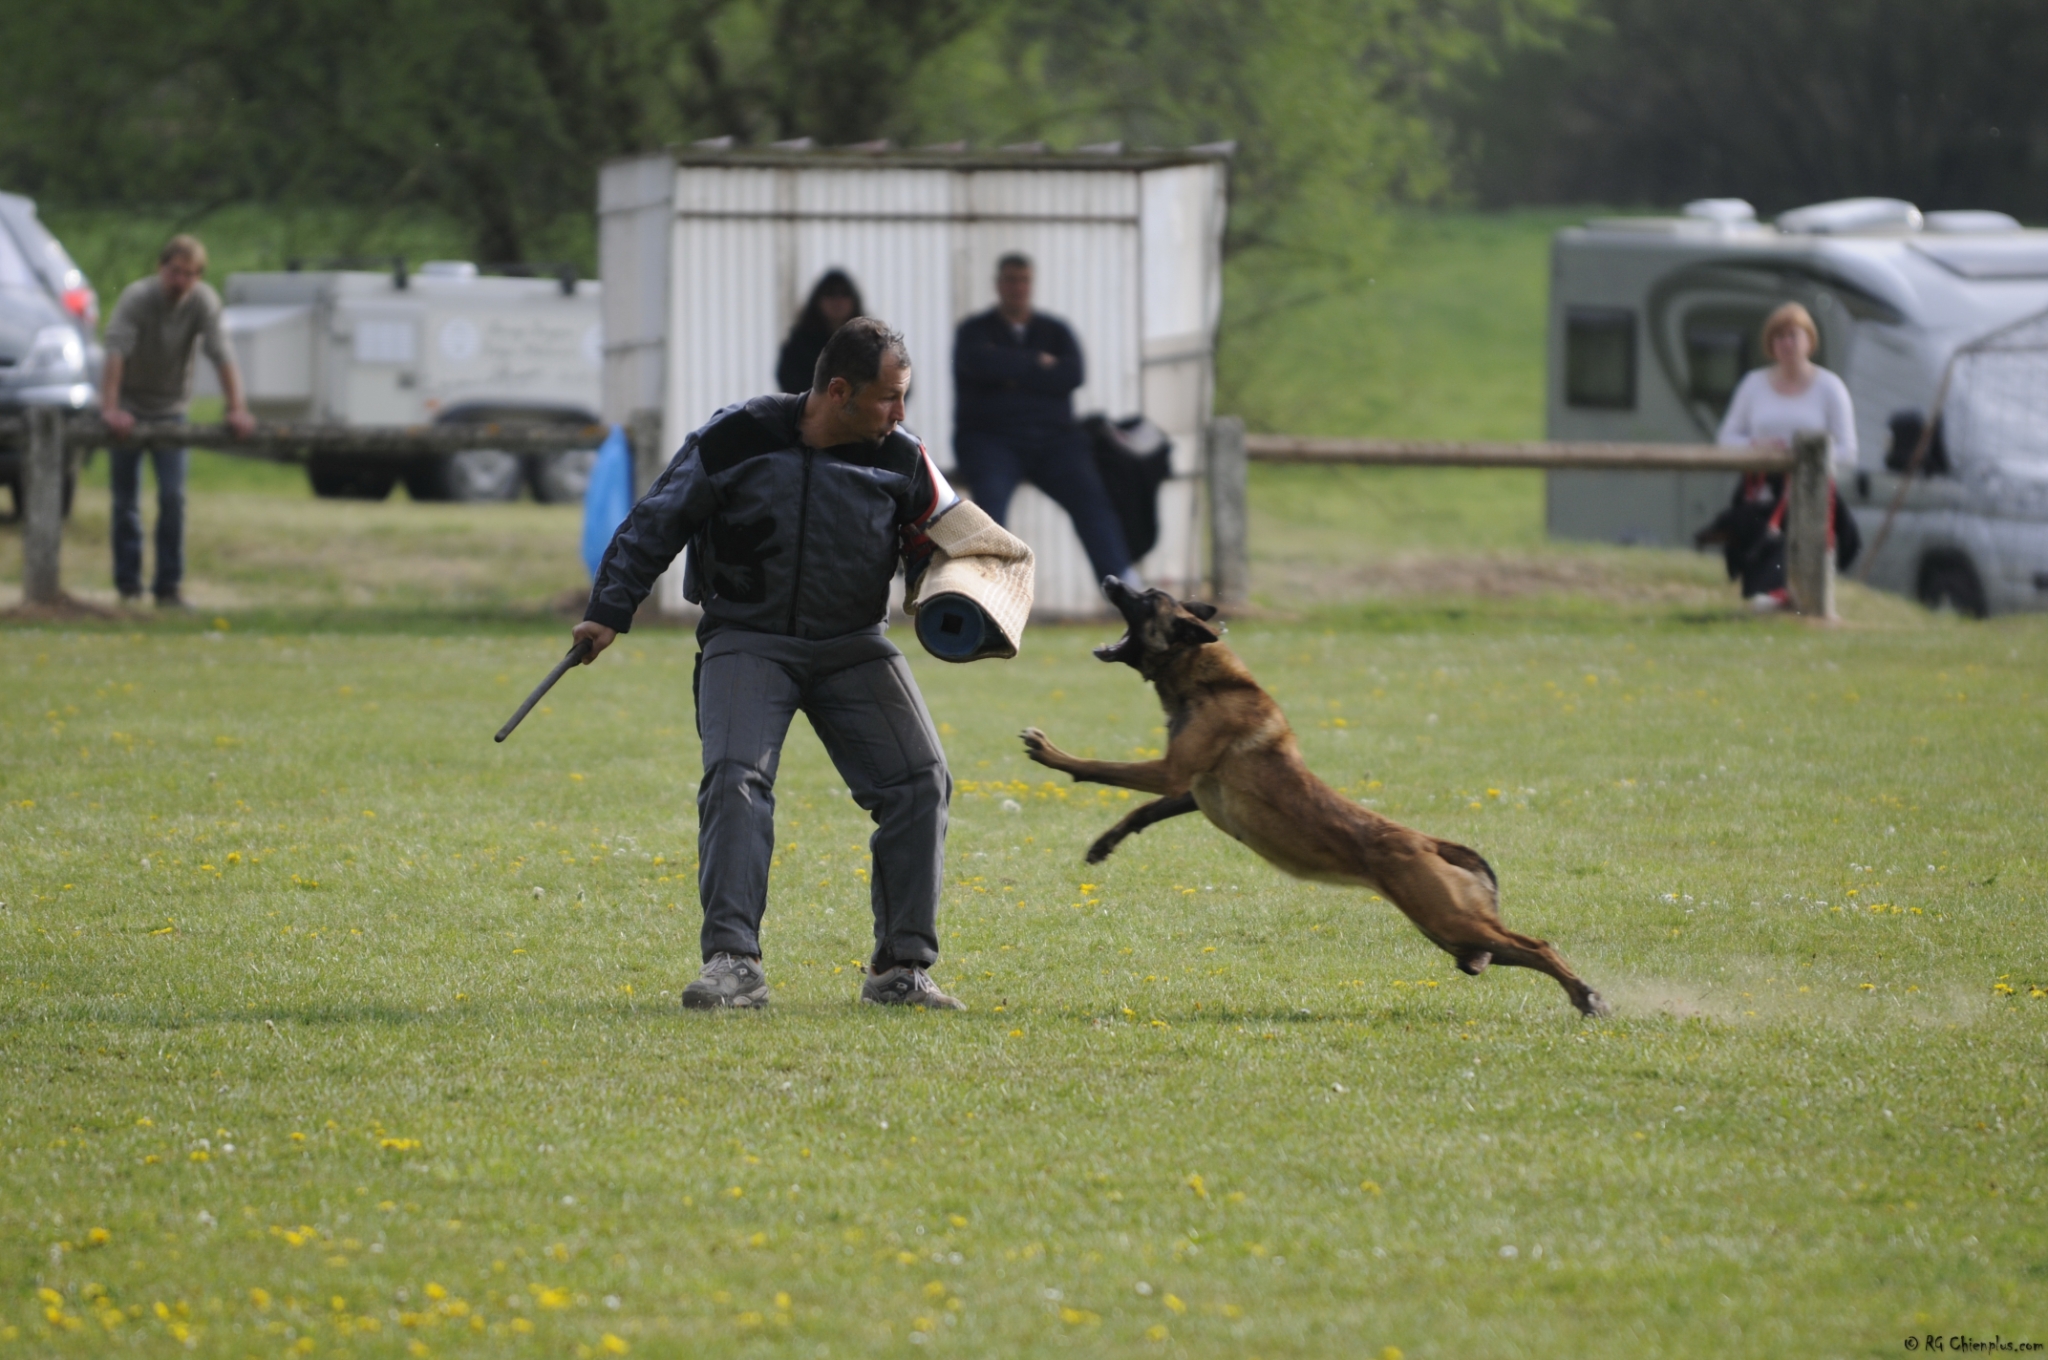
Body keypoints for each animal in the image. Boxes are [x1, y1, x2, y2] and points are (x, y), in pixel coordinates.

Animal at [1015, 577, 1605, 1015]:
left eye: (1144, 599)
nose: (1112, 578)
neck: (1206, 681)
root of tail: (1427, 843)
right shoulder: (1189, 790)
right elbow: (1142, 809)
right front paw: (1104, 844)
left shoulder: (1170, 771)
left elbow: (1101, 769)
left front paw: (1051, 753)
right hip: (1452, 932)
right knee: (1500, 951)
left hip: (1449, 920)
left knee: (1539, 946)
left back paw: (1586, 996)